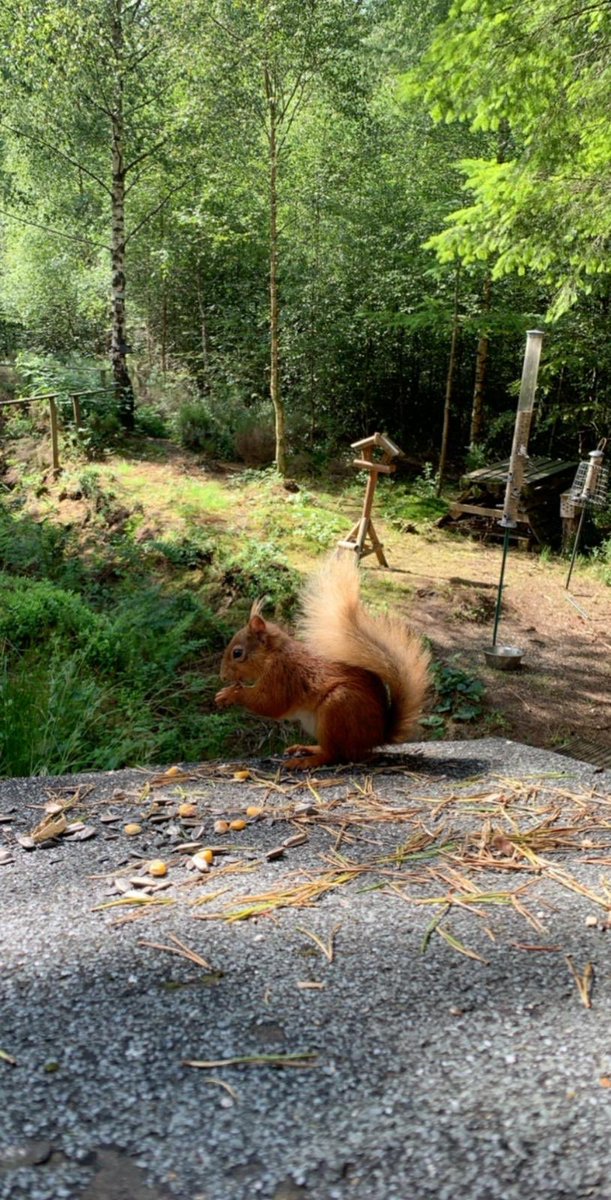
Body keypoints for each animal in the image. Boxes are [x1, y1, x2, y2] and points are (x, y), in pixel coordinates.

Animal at [215, 553, 430, 770]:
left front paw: (230, 694)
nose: (223, 676)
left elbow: (270, 703)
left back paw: (305, 761)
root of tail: (377, 737)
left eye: (237, 653)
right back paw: (307, 748)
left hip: (337, 709)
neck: (273, 655)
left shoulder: (283, 675)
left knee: (334, 755)